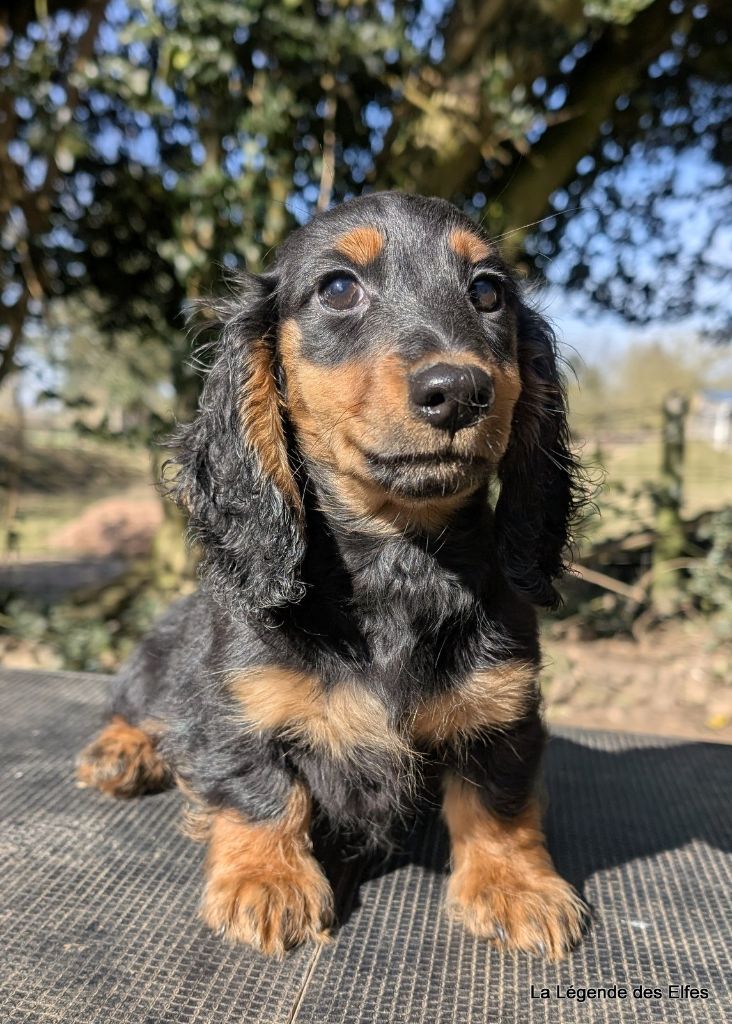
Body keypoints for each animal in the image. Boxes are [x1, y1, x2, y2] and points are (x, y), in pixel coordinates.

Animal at [75, 190, 589, 958]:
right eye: (339, 288)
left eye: (488, 292)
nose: (459, 390)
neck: (397, 561)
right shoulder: (236, 700)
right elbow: (259, 785)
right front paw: (266, 880)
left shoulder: (505, 706)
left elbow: (500, 800)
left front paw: (515, 885)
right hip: (157, 657)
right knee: (133, 706)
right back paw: (121, 752)